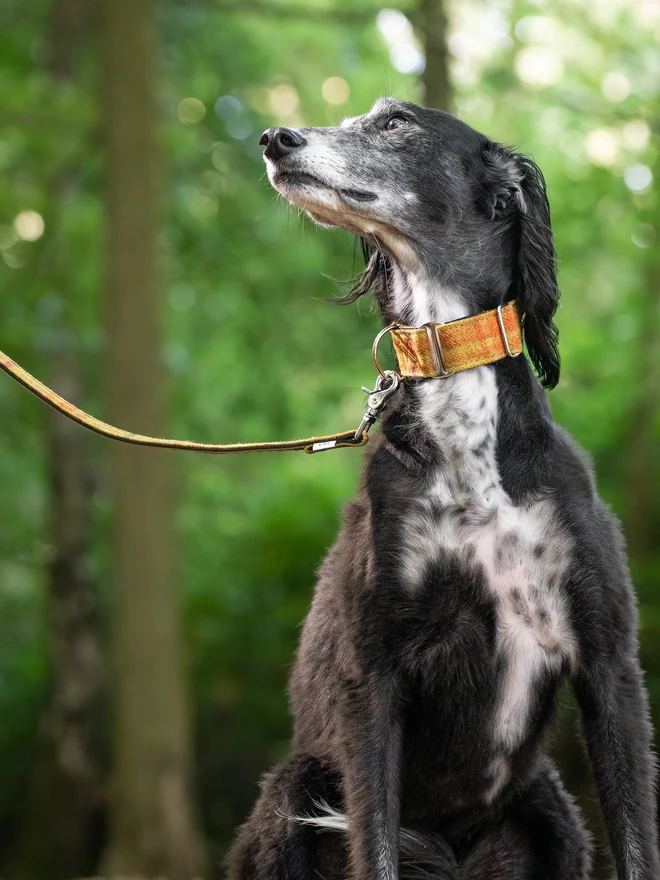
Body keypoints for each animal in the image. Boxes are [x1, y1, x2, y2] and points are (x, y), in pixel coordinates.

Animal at [228, 98, 660, 880]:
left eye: (396, 123)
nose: (275, 139)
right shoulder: (372, 678)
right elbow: (375, 850)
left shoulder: (609, 661)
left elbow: (638, 842)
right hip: (294, 787)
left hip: (556, 813)